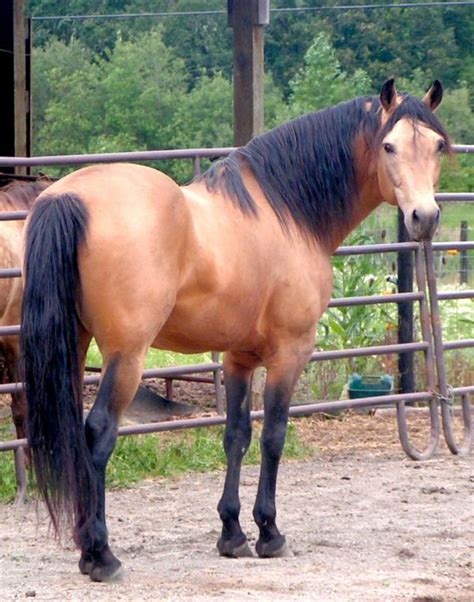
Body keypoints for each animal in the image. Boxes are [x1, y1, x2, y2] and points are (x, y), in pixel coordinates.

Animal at [20, 81, 450, 580]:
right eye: (388, 146)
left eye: (437, 146)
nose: (424, 217)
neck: (287, 213)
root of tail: (68, 197)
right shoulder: (289, 353)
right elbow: (274, 436)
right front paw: (270, 533)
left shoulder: (238, 357)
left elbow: (236, 436)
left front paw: (232, 534)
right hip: (126, 356)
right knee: (99, 434)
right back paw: (101, 555)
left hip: (73, 345)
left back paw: (88, 551)